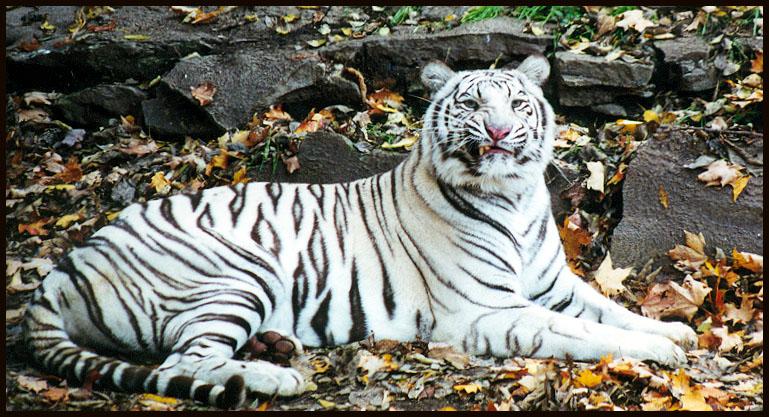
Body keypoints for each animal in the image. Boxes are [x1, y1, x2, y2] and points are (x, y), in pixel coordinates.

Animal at [22, 55, 696, 406]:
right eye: (473, 105)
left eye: (518, 104)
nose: (501, 132)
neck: (514, 197)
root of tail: (60, 271)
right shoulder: (489, 310)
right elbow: (582, 332)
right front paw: (660, 352)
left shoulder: (552, 283)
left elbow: (609, 309)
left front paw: (676, 331)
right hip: (236, 269)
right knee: (185, 360)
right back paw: (276, 376)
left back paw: (276, 348)